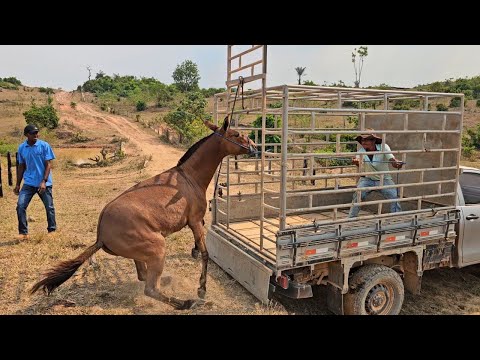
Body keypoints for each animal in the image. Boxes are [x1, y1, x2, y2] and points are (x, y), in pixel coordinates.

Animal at [30, 117, 256, 310]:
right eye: (236, 134)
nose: (254, 146)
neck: (189, 178)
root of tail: (100, 235)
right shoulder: (194, 221)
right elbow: (205, 254)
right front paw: (201, 289)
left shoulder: (196, 222)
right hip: (157, 247)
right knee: (150, 288)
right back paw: (186, 303)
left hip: (140, 253)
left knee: (143, 276)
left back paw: (169, 283)